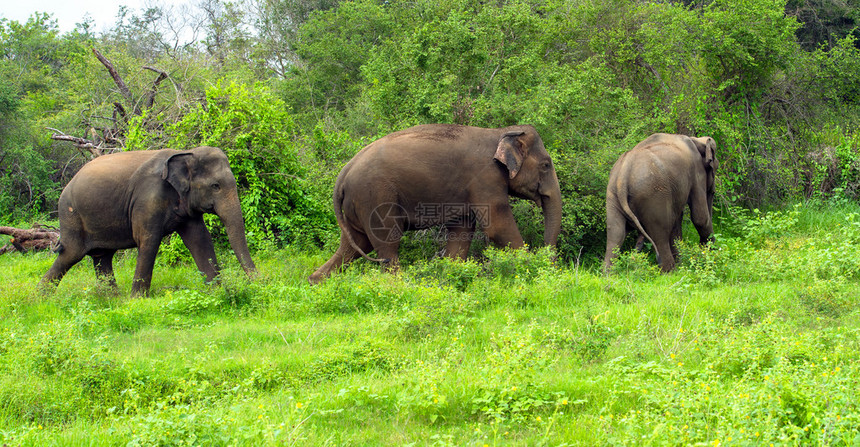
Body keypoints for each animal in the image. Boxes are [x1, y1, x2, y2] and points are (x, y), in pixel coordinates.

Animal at [40, 145, 255, 296]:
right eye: (215, 186)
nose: (258, 283)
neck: (185, 153)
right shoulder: (147, 199)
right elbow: (148, 240)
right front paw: (137, 300)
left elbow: (199, 240)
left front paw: (217, 291)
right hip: (71, 215)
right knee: (70, 254)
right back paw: (40, 299)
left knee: (102, 257)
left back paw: (112, 299)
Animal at [310, 123, 564, 284]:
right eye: (546, 165)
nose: (551, 264)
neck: (501, 132)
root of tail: (343, 174)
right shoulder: (486, 178)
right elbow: (497, 227)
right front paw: (532, 268)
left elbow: (462, 230)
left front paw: (449, 273)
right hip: (374, 197)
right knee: (387, 243)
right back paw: (398, 285)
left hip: (356, 204)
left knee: (354, 244)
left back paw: (316, 282)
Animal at [604, 133, 720, 272]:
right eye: (715, 167)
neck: (696, 140)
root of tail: (623, 174)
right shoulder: (697, 172)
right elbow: (700, 218)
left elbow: (678, 220)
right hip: (653, 195)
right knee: (660, 231)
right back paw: (670, 272)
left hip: (612, 195)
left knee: (615, 232)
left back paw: (608, 274)